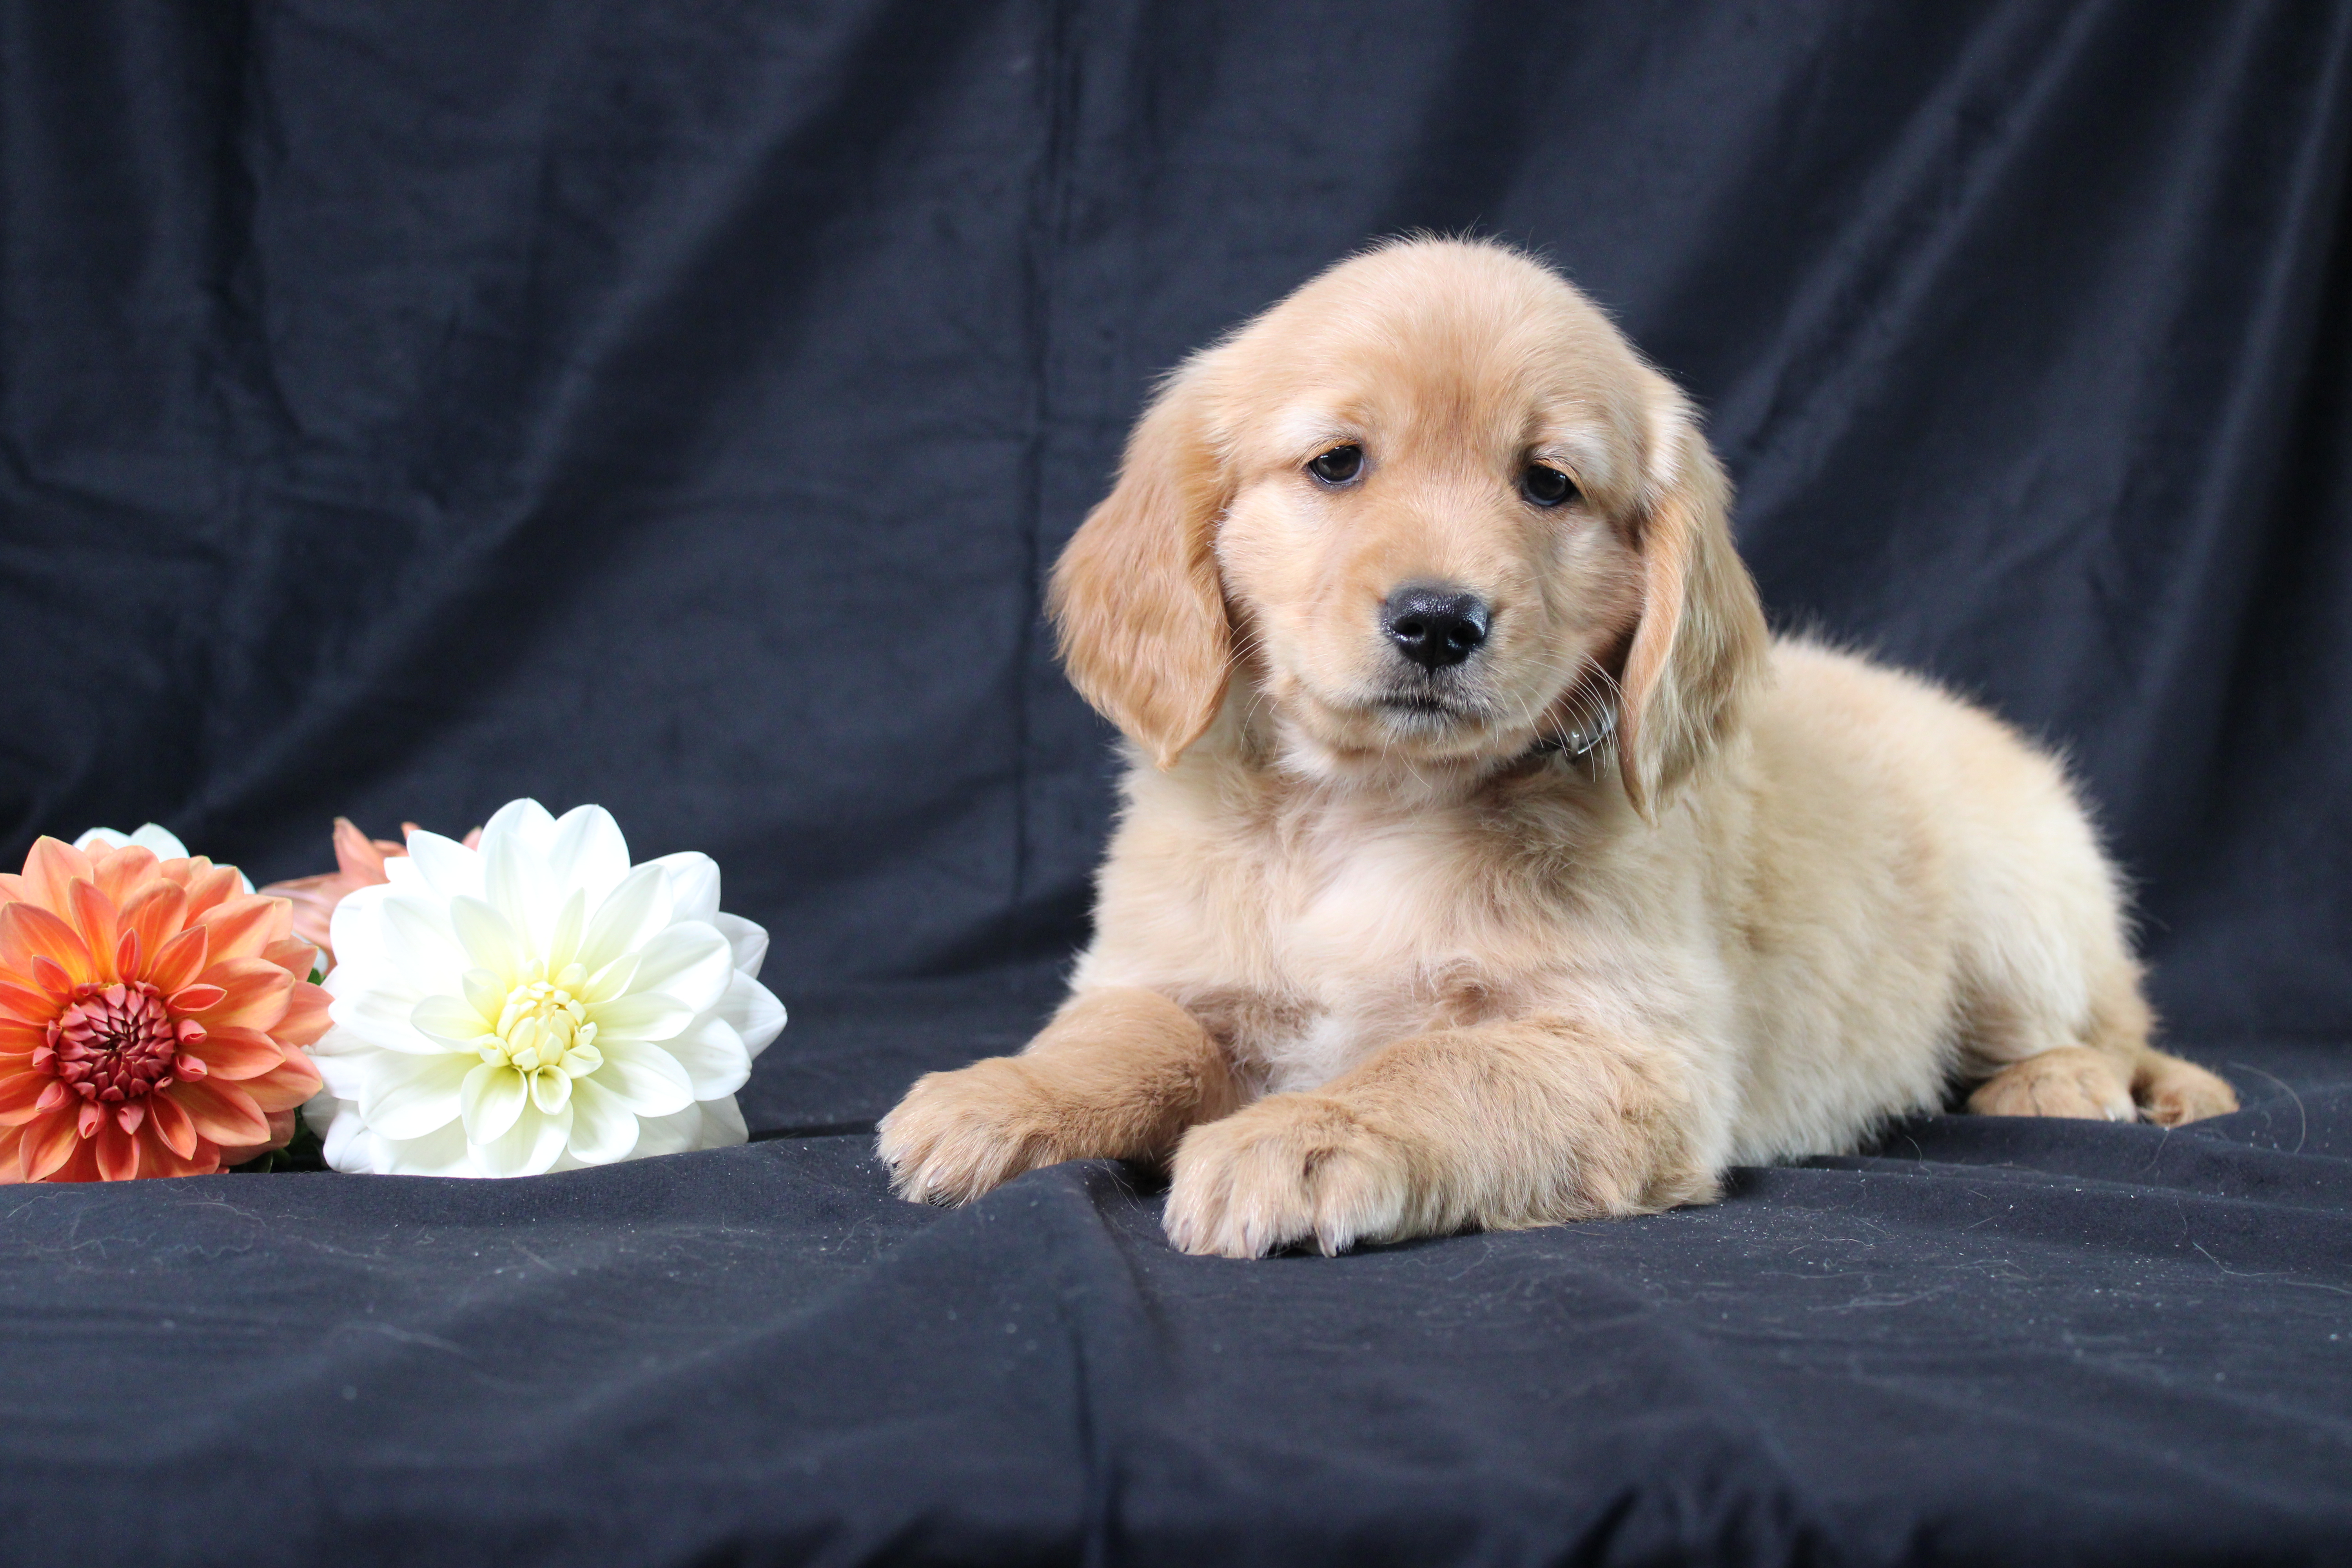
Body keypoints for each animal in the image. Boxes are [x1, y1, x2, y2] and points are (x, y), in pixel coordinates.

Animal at [875, 236, 2230, 1260]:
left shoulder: (1630, 1048)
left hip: (2017, 905)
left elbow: (1438, 1070)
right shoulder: (1170, 965)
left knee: (2106, 1021)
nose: (1438, 621)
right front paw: (1000, 1097)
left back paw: (2076, 1084)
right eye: (1337, 464)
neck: (1368, 812)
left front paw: (1297, 1134)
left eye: (1547, 485)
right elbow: (1123, 1037)